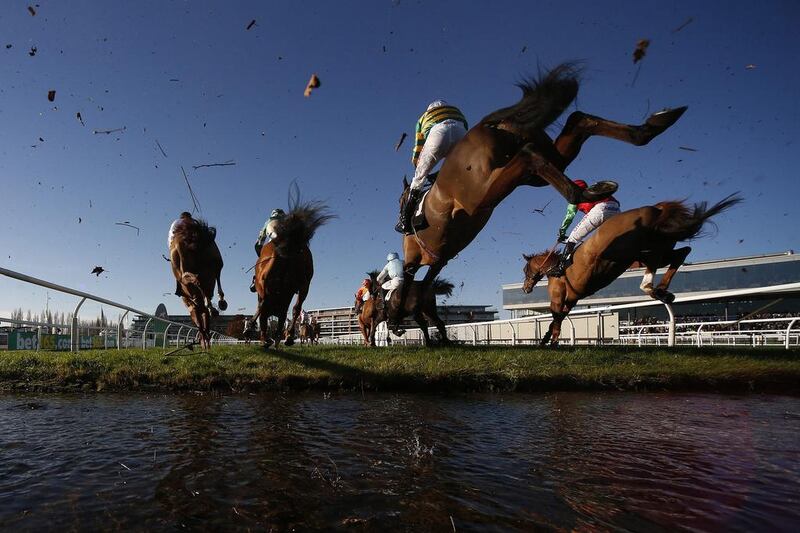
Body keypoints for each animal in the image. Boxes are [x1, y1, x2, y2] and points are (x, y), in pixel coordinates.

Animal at [400, 62, 688, 300]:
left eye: (402, 199)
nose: (527, 287)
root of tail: (487, 124)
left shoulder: (419, 260)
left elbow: (409, 286)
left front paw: (397, 319)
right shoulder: (437, 259)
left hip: (481, 194)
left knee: (531, 154)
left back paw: (589, 193)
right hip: (532, 170)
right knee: (578, 121)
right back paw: (651, 127)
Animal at [520, 194, 740, 344]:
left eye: (525, 271)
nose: (525, 288)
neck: (553, 268)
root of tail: (656, 209)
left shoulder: (559, 297)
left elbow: (556, 318)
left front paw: (552, 341)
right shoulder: (572, 299)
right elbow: (556, 319)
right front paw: (545, 339)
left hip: (626, 251)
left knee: (658, 260)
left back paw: (651, 288)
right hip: (654, 248)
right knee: (682, 252)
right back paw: (662, 291)